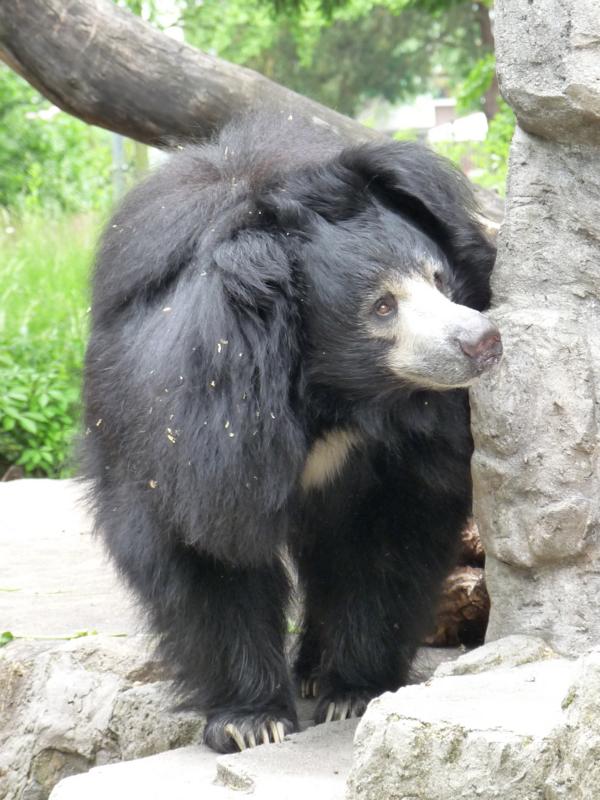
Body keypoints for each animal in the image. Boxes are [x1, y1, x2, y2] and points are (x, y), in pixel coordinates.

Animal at [83, 113, 501, 754]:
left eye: (439, 279)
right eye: (382, 307)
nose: (482, 341)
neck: (331, 399)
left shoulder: (403, 448)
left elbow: (384, 543)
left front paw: (352, 692)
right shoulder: (191, 440)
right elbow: (206, 553)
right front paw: (250, 722)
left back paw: (313, 672)